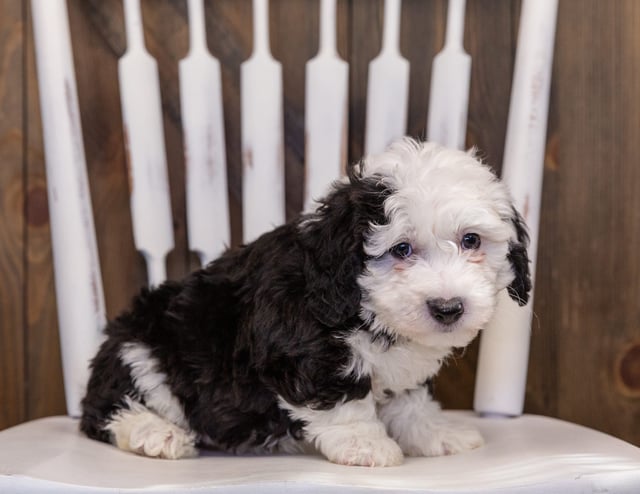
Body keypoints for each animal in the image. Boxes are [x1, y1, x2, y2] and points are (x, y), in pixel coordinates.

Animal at [80, 137, 528, 466]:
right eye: (400, 249)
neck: (364, 306)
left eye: (471, 240)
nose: (448, 308)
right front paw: (365, 444)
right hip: (142, 350)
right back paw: (156, 433)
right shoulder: (302, 349)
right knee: (106, 410)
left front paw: (433, 432)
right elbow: (342, 398)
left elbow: (410, 398)